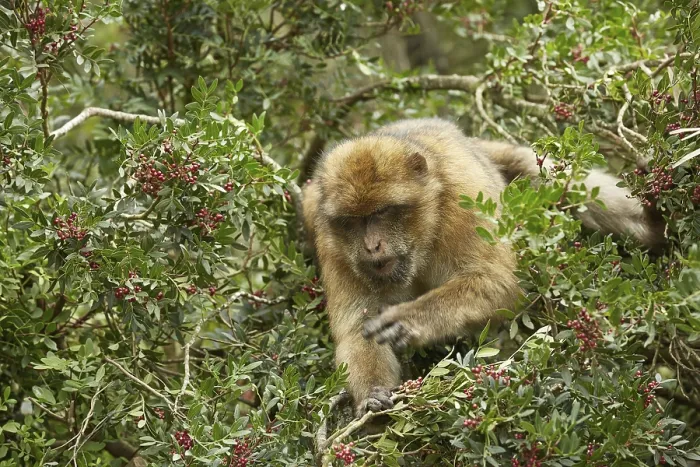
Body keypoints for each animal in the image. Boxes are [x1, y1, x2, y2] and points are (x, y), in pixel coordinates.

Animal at [301, 117, 665, 416]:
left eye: (382, 213)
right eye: (351, 222)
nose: (371, 246)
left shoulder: (465, 199)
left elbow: (499, 280)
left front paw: (410, 321)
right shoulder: (331, 241)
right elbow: (355, 329)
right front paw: (372, 399)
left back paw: (652, 225)